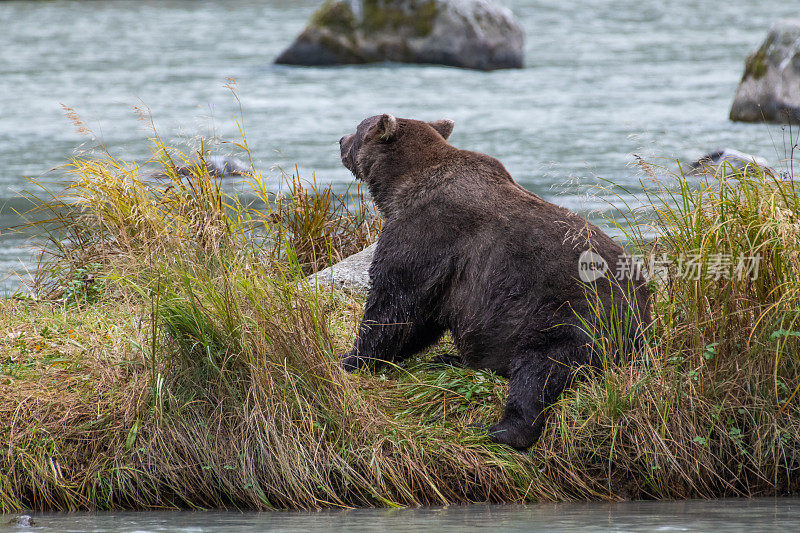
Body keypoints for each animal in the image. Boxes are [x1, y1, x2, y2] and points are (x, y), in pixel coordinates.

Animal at [338, 113, 648, 448]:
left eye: (358, 128)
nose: (340, 140)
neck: (400, 186)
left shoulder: (426, 232)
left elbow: (395, 306)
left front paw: (351, 358)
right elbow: (421, 317)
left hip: (575, 313)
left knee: (543, 366)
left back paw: (499, 429)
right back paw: (448, 360)